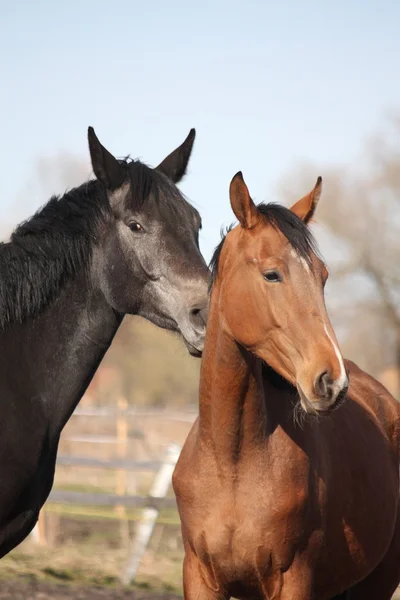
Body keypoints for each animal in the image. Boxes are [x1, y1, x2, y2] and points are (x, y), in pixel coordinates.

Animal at [173, 171, 400, 596]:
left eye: (322, 276)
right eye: (271, 274)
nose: (331, 380)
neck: (233, 464)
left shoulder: (293, 580)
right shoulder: (199, 577)